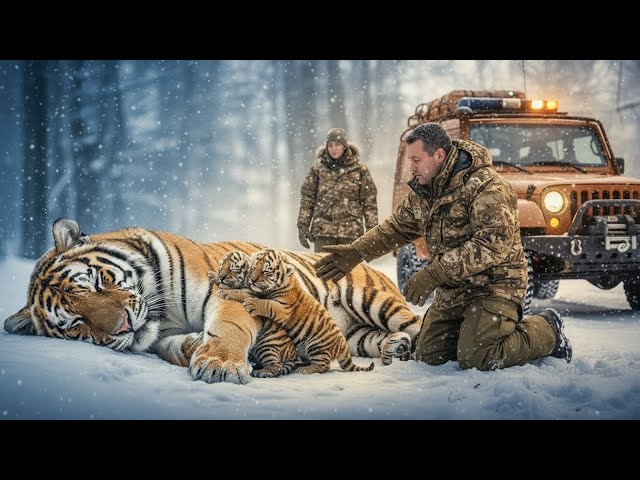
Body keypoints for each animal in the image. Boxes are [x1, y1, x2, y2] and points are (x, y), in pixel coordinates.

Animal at [217, 248, 374, 374]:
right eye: (254, 267)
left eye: (266, 271)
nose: (252, 280)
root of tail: (343, 347)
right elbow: (246, 293)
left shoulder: (283, 308)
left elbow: (266, 304)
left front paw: (244, 300)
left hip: (316, 345)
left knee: (324, 365)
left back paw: (305, 369)